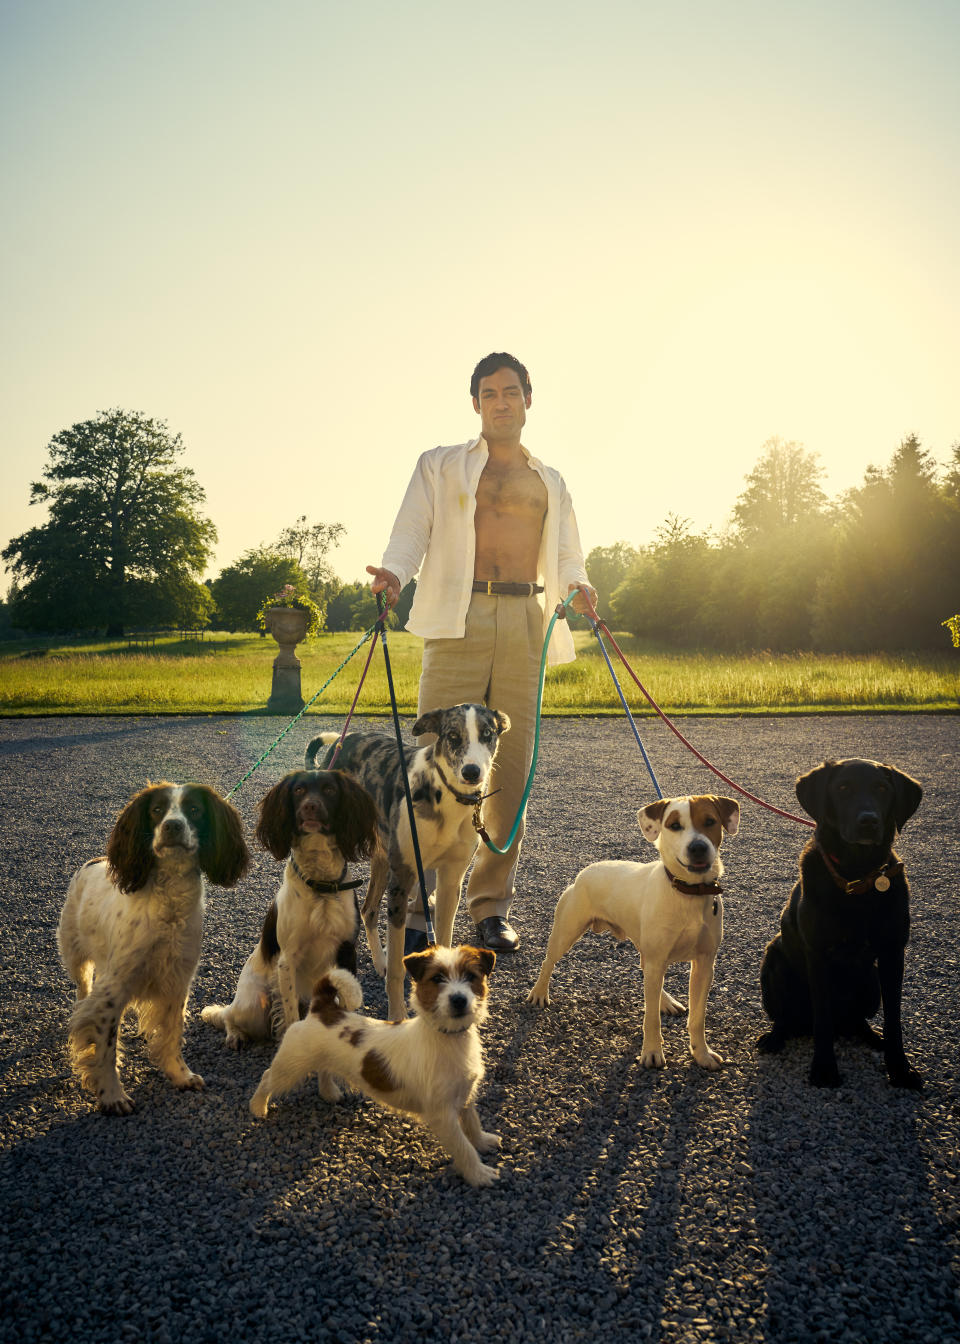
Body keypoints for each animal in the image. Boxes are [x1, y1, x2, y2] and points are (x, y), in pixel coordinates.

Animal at [247, 946, 500, 1188]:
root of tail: (321, 1009)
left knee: (323, 1070)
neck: (448, 1037)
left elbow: (472, 1122)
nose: (459, 999)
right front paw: (479, 1174)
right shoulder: (442, 1115)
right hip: (290, 1066)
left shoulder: (465, 1094)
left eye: (471, 976)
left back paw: (329, 1093)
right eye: (437, 978)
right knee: (268, 1077)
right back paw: (258, 1107)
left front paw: (483, 1141)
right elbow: (463, 1147)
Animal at [305, 704, 508, 1016]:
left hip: (382, 858)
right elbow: (399, 970)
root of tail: (344, 742)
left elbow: (445, 941)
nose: (472, 772)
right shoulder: (403, 879)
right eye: (452, 735)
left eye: (488, 733)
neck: (446, 799)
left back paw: (380, 962)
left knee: (368, 909)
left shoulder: (450, 882)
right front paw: (397, 1017)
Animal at [524, 795, 742, 1069]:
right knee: (548, 962)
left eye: (710, 821)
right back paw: (539, 993)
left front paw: (701, 1053)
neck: (687, 892)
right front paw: (652, 1052)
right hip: (566, 933)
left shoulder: (704, 965)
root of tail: (586, 871)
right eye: (674, 825)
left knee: (646, 971)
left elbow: (697, 1018)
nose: (698, 848)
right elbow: (651, 1018)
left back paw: (665, 1001)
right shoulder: (660, 959)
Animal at [752, 763, 919, 1085]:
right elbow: (823, 1019)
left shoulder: (893, 955)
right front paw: (824, 1069)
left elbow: (894, 1019)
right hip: (774, 964)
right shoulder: (817, 956)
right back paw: (774, 1038)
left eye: (883, 788)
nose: (869, 821)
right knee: (787, 1018)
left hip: (870, 983)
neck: (857, 874)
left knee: (857, 1020)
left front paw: (900, 1069)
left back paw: (872, 1037)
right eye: (842, 788)